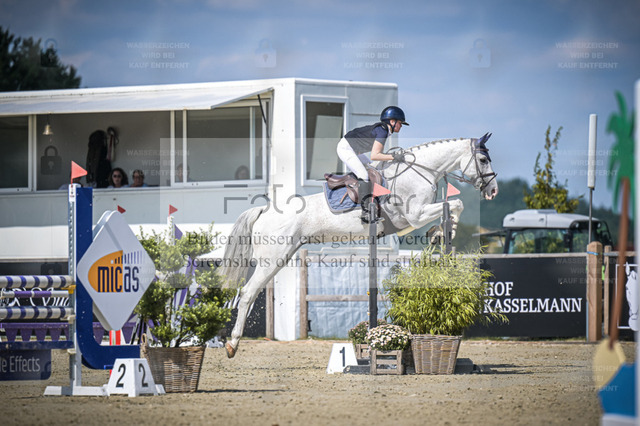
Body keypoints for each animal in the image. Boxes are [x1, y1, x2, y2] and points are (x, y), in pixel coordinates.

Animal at [220, 133, 498, 357]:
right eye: (483, 160)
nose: (493, 191)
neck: (420, 171)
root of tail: (264, 210)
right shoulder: (415, 215)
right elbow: (456, 204)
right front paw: (441, 230)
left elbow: (453, 206)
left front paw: (439, 232)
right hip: (272, 259)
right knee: (247, 294)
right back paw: (232, 344)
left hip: (282, 257)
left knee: (251, 293)